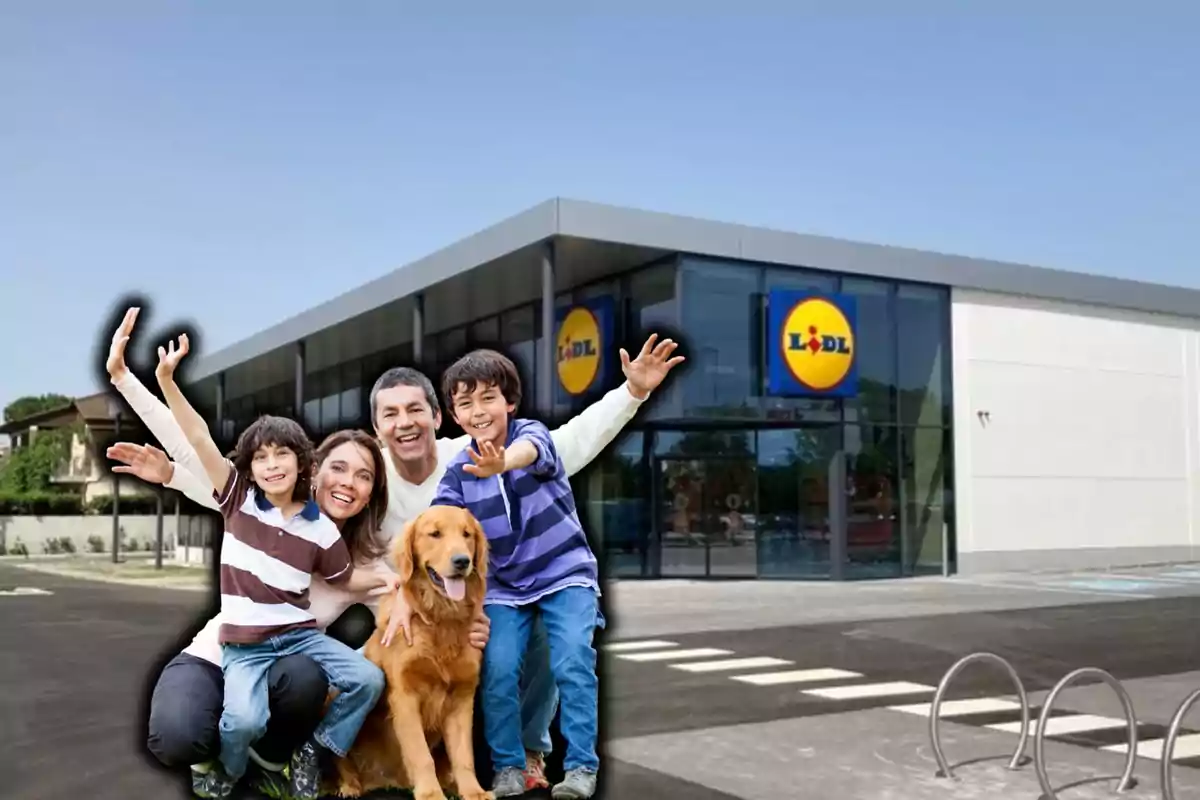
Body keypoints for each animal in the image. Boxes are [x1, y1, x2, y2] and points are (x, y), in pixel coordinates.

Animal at [331, 506, 489, 800]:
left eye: (467, 535)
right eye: (435, 534)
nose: (462, 561)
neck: (441, 619)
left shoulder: (462, 696)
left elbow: (464, 754)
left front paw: (473, 791)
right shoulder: (405, 696)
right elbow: (420, 754)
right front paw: (430, 793)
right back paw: (350, 785)